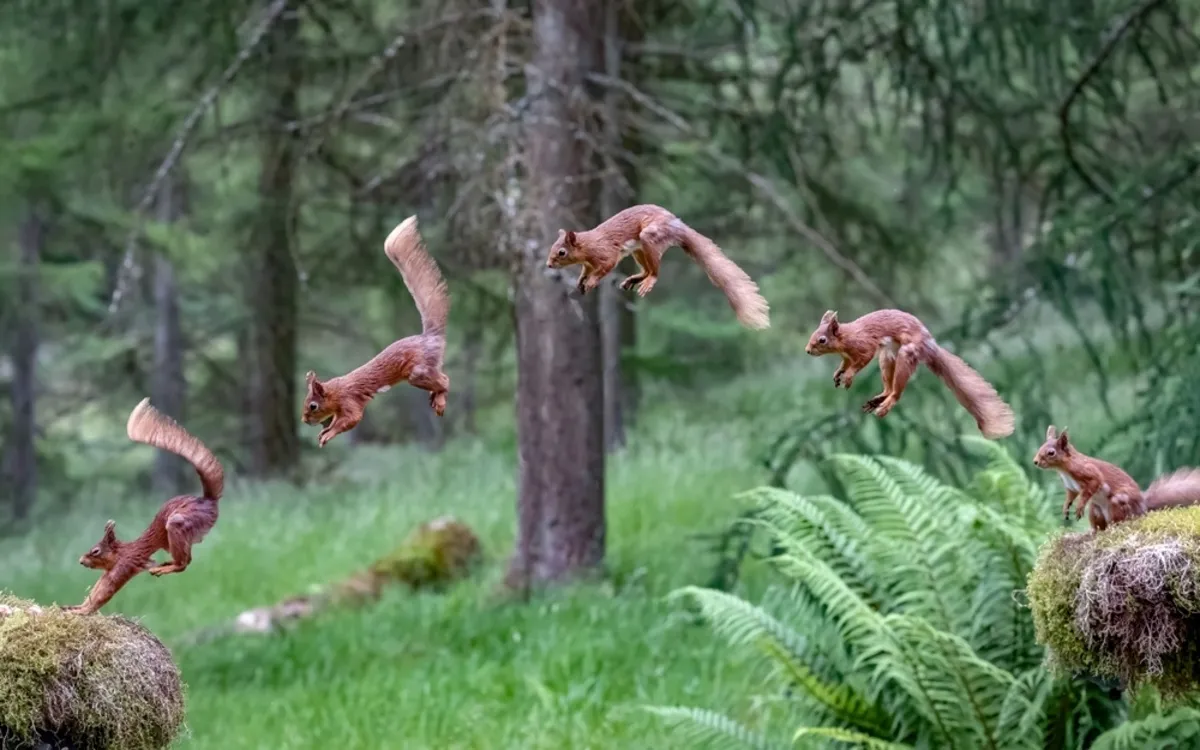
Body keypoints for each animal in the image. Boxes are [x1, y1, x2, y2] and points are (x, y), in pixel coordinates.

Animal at [64, 398, 224, 615]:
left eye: (95, 551)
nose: (81, 561)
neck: (120, 553)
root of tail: (208, 501)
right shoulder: (111, 571)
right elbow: (97, 589)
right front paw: (77, 606)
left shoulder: (124, 566)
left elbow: (104, 592)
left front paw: (82, 612)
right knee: (186, 561)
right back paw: (164, 564)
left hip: (179, 524)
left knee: (183, 564)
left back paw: (163, 567)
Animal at [302, 215, 451, 447]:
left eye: (313, 406)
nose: (304, 420)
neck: (337, 391)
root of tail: (430, 337)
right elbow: (338, 420)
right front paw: (324, 431)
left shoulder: (350, 401)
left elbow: (351, 419)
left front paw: (327, 434)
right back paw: (435, 398)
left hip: (419, 372)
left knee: (445, 381)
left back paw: (441, 398)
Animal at [544, 204, 770, 330]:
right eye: (552, 246)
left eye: (561, 252)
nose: (548, 264)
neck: (587, 245)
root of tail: (677, 226)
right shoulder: (588, 263)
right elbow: (585, 271)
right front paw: (581, 281)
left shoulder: (605, 254)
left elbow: (605, 267)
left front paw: (591, 282)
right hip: (638, 250)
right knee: (646, 270)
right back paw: (635, 278)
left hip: (650, 238)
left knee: (654, 272)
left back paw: (649, 281)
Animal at [804, 308, 1015, 439]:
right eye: (813, 334)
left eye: (822, 340)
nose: (807, 350)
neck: (846, 337)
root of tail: (930, 345)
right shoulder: (847, 357)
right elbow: (845, 364)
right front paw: (838, 373)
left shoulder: (864, 346)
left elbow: (861, 361)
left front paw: (848, 377)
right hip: (887, 357)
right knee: (889, 387)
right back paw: (880, 397)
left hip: (906, 354)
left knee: (897, 392)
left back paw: (887, 404)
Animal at [1033, 425, 1200, 532]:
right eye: (1040, 447)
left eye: (1051, 452)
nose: (1035, 462)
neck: (1064, 470)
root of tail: (1143, 506)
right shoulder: (1070, 486)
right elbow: (1070, 495)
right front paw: (1066, 507)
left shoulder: (1089, 473)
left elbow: (1093, 485)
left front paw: (1079, 507)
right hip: (1095, 510)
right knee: (1100, 525)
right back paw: (1095, 532)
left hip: (1118, 503)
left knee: (1120, 521)